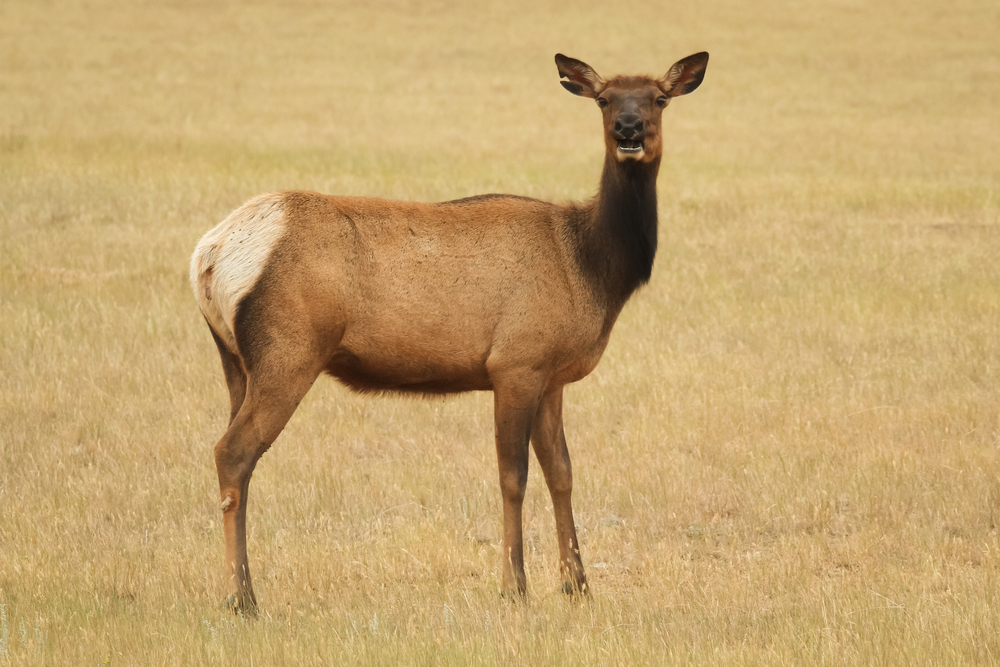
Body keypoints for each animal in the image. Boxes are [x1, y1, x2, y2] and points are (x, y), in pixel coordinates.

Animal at [190, 51, 709, 613]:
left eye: (659, 97)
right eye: (604, 99)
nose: (628, 129)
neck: (592, 267)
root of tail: (210, 255)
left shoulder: (551, 376)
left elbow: (562, 473)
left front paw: (577, 584)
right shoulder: (515, 362)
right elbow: (513, 477)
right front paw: (514, 586)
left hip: (235, 360)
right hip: (289, 350)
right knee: (232, 452)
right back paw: (243, 598)